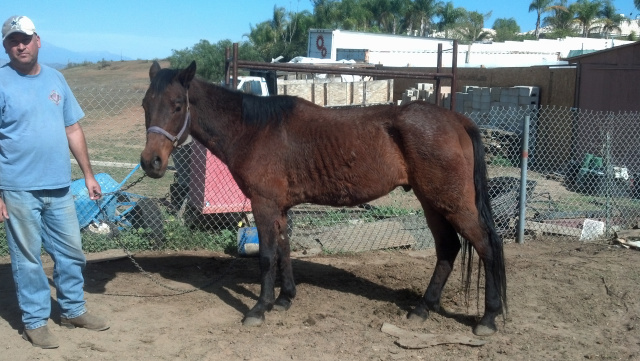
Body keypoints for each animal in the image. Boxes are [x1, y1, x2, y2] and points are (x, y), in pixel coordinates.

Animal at [141, 61, 510, 334]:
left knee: (487, 246)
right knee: (448, 249)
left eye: (177, 105)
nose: (150, 162)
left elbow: (266, 257)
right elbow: (284, 251)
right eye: (146, 104)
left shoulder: (264, 205)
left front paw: (260, 308)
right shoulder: (280, 208)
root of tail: (458, 120)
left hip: (452, 203)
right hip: (432, 203)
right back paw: (422, 309)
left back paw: (488, 319)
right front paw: (285, 298)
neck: (254, 129)